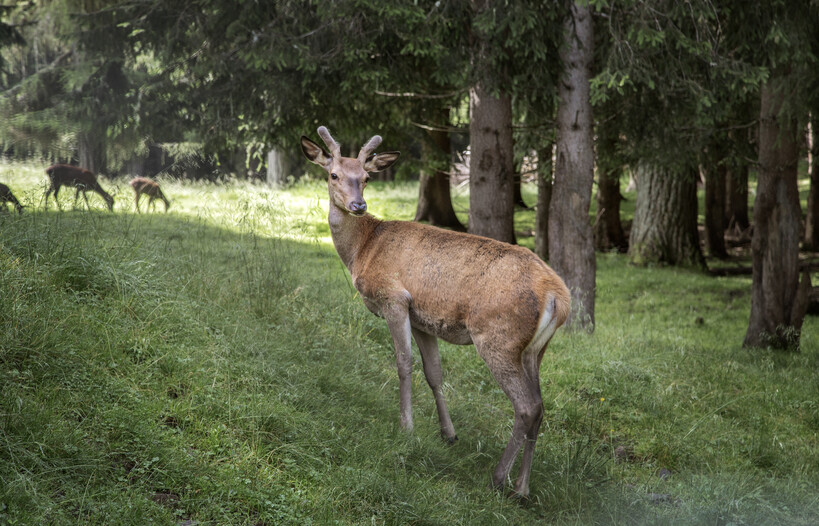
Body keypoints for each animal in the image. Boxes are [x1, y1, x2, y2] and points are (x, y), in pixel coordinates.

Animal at [300, 128, 572, 500]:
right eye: (334, 175)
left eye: (366, 177)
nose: (358, 205)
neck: (362, 250)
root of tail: (559, 297)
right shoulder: (422, 319)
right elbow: (434, 373)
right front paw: (448, 433)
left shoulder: (394, 298)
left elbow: (404, 364)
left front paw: (406, 426)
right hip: (535, 349)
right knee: (540, 405)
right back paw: (522, 487)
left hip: (498, 338)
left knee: (527, 406)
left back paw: (499, 478)